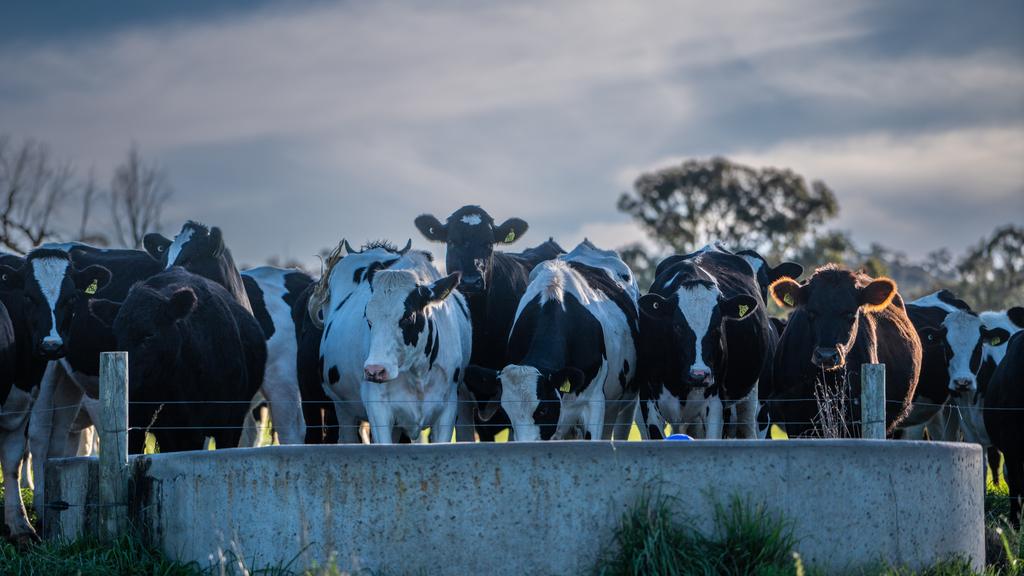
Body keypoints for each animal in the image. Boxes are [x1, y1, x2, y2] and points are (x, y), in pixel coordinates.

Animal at [634, 243, 770, 436]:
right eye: (677, 326)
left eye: (717, 326)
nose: (699, 374)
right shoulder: (648, 402)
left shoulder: (716, 404)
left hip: (749, 399)